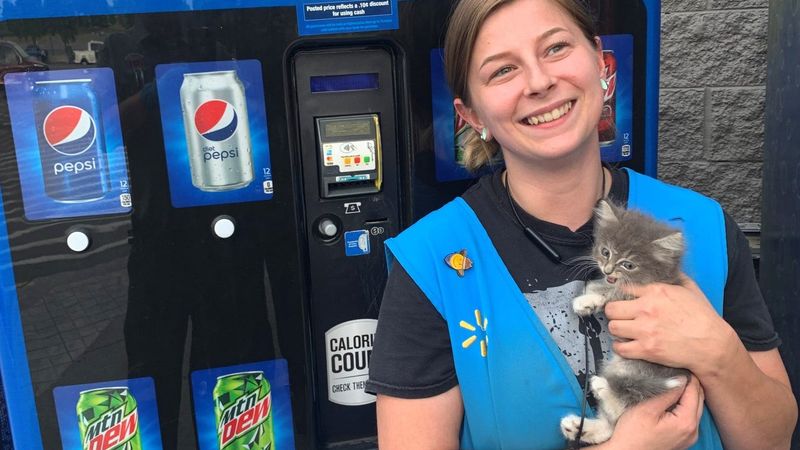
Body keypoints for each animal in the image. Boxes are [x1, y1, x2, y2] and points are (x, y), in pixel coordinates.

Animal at [560, 200, 692, 442]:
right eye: (605, 252)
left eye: (628, 265)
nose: (607, 270)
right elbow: (603, 286)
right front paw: (590, 296)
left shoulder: (639, 294)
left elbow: (615, 292)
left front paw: (587, 299)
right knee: (612, 427)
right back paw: (577, 427)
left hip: (637, 369)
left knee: (627, 402)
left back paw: (601, 386)